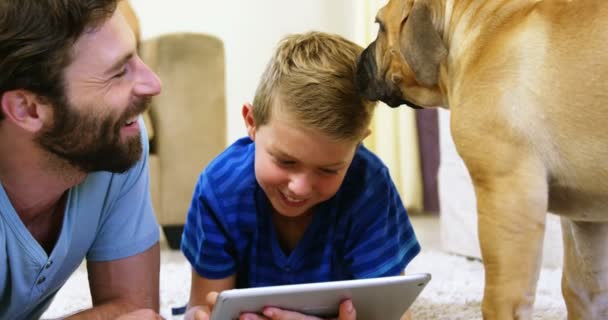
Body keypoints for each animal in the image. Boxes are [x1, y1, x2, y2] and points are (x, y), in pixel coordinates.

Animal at [356, 0, 608, 320]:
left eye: (379, 26)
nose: (358, 58)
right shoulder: (586, 222)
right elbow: (582, 292)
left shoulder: (508, 195)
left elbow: (502, 296)